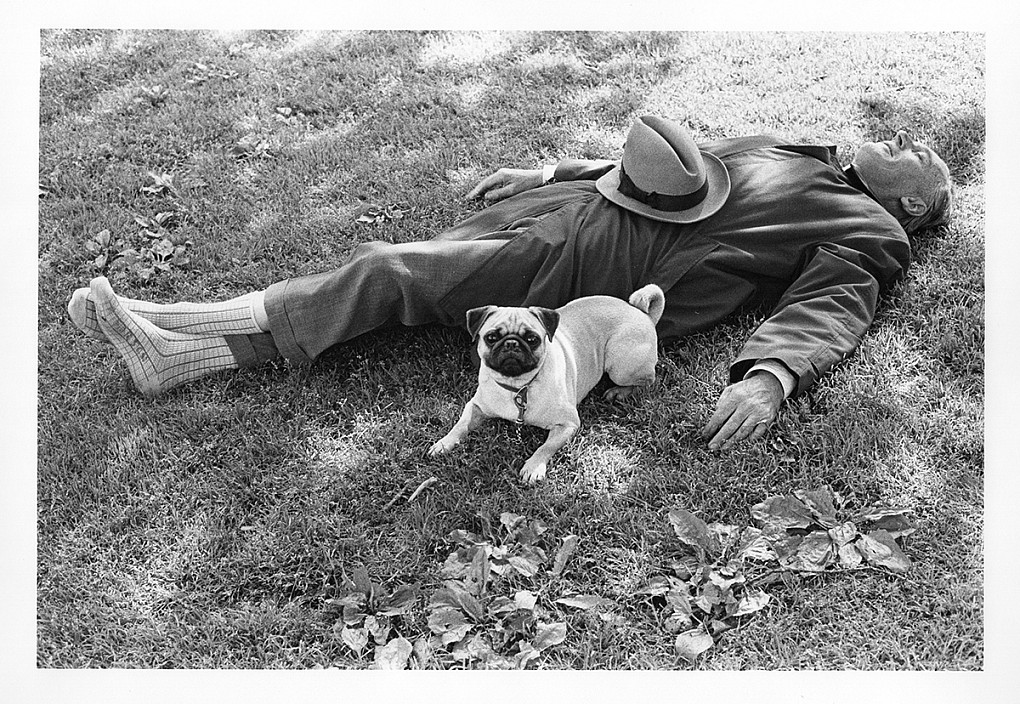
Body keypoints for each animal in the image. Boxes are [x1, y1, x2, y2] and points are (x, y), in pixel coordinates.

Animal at [432, 281, 665, 479]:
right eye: (491, 337)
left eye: (532, 339)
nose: (511, 344)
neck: (518, 387)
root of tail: (641, 313)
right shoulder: (475, 406)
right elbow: (460, 425)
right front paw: (444, 443)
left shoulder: (568, 424)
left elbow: (546, 447)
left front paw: (534, 467)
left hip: (620, 366)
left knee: (648, 381)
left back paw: (618, 392)